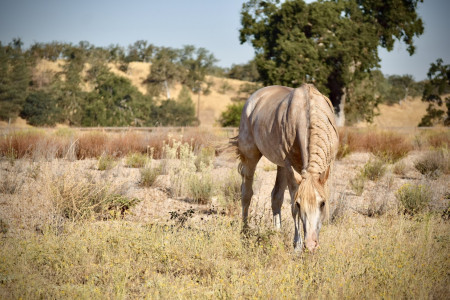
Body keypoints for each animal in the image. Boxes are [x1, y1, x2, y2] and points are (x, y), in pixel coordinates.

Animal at [232, 83, 338, 252]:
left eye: (322, 203)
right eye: (299, 203)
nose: (311, 244)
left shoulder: (328, 166)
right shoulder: (290, 168)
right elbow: (293, 209)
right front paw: (297, 246)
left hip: (280, 165)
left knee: (276, 197)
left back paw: (277, 233)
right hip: (251, 156)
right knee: (246, 194)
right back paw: (244, 232)